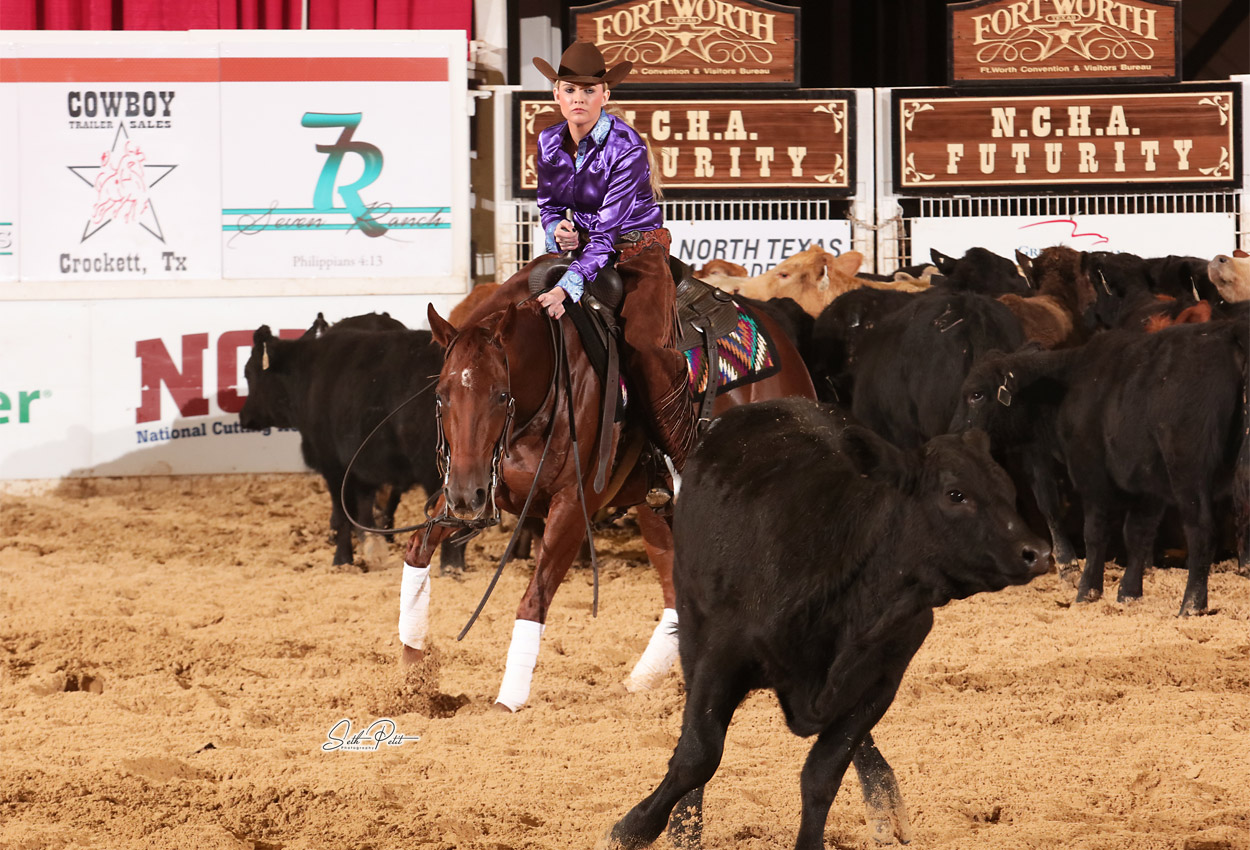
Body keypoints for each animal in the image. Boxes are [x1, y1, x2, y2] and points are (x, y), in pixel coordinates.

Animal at [238, 322, 465, 575]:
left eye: (249, 372)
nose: (244, 417)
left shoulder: (334, 466)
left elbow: (343, 514)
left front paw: (342, 558)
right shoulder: (363, 467)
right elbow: (363, 510)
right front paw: (373, 549)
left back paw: (450, 566)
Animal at [395, 295, 815, 715]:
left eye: (500, 394)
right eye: (441, 394)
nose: (466, 496)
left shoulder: (570, 507)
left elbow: (534, 599)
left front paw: (507, 700)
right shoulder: (486, 486)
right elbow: (417, 550)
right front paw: (412, 674)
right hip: (657, 511)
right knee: (675, 595)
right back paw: (644, 680)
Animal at [610, 397, 1050, 850]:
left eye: (1009, 492)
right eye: (955, 494)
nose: (1037, 552)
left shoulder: (880, 684)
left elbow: (822, 775)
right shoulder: (722, 652)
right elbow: (697, 754)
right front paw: (635, 828)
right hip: (692, 620)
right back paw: (685, 823)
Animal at [950, 322, 1245, 615]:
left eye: (976, 394)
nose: (956, 434)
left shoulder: (1091, 475)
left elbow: (1094, 534)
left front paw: (1087, 591)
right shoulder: (1148, 485)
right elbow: (1138, 534)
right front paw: (1128, 593)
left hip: (1188, 472)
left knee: (1201, 532)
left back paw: (1191, 606)